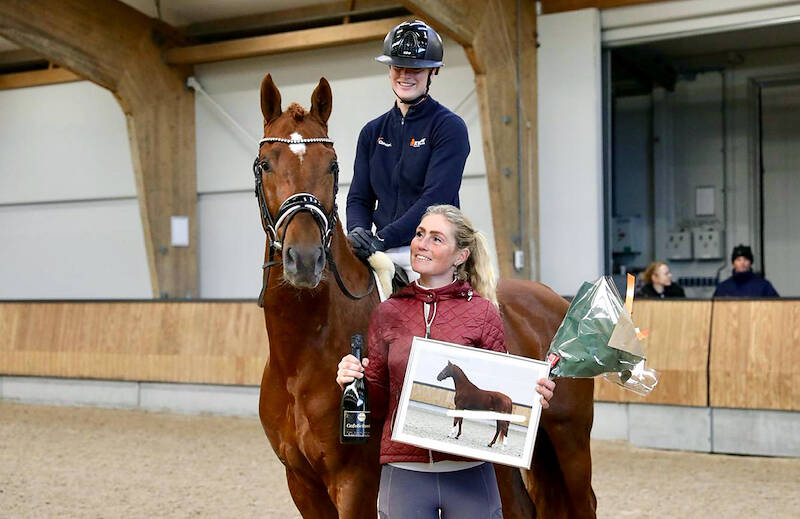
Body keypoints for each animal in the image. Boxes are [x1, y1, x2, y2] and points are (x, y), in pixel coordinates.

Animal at [254, 73, 597, 518]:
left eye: (332, 167)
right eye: (265, 164)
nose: (306, 259)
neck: (303, 352)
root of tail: (555, 301)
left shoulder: (355, 482)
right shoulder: (300, 482)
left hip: (570, 442)